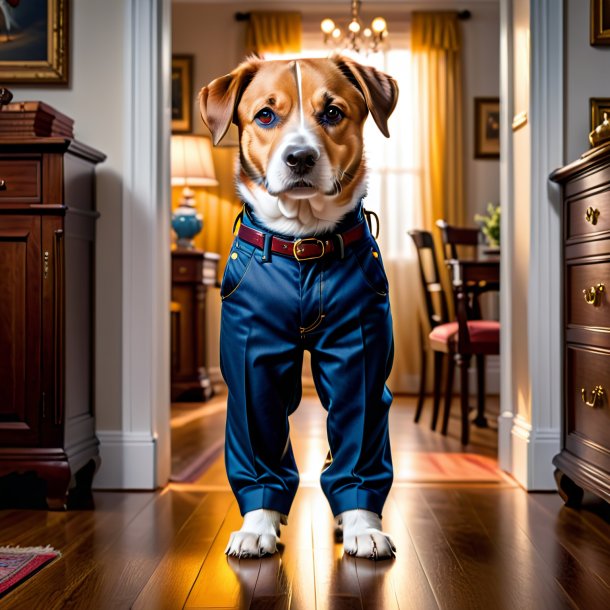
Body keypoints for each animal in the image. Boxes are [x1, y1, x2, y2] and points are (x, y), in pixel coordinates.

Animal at [201, 54, 400, 560]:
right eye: (266, 115)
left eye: (331, 112)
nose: (300, 157)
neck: (303, 243)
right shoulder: (253, 364)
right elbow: (258, 437)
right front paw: (257, 526)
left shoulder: (359, 356)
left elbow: (358, 436)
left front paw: (362, 525)